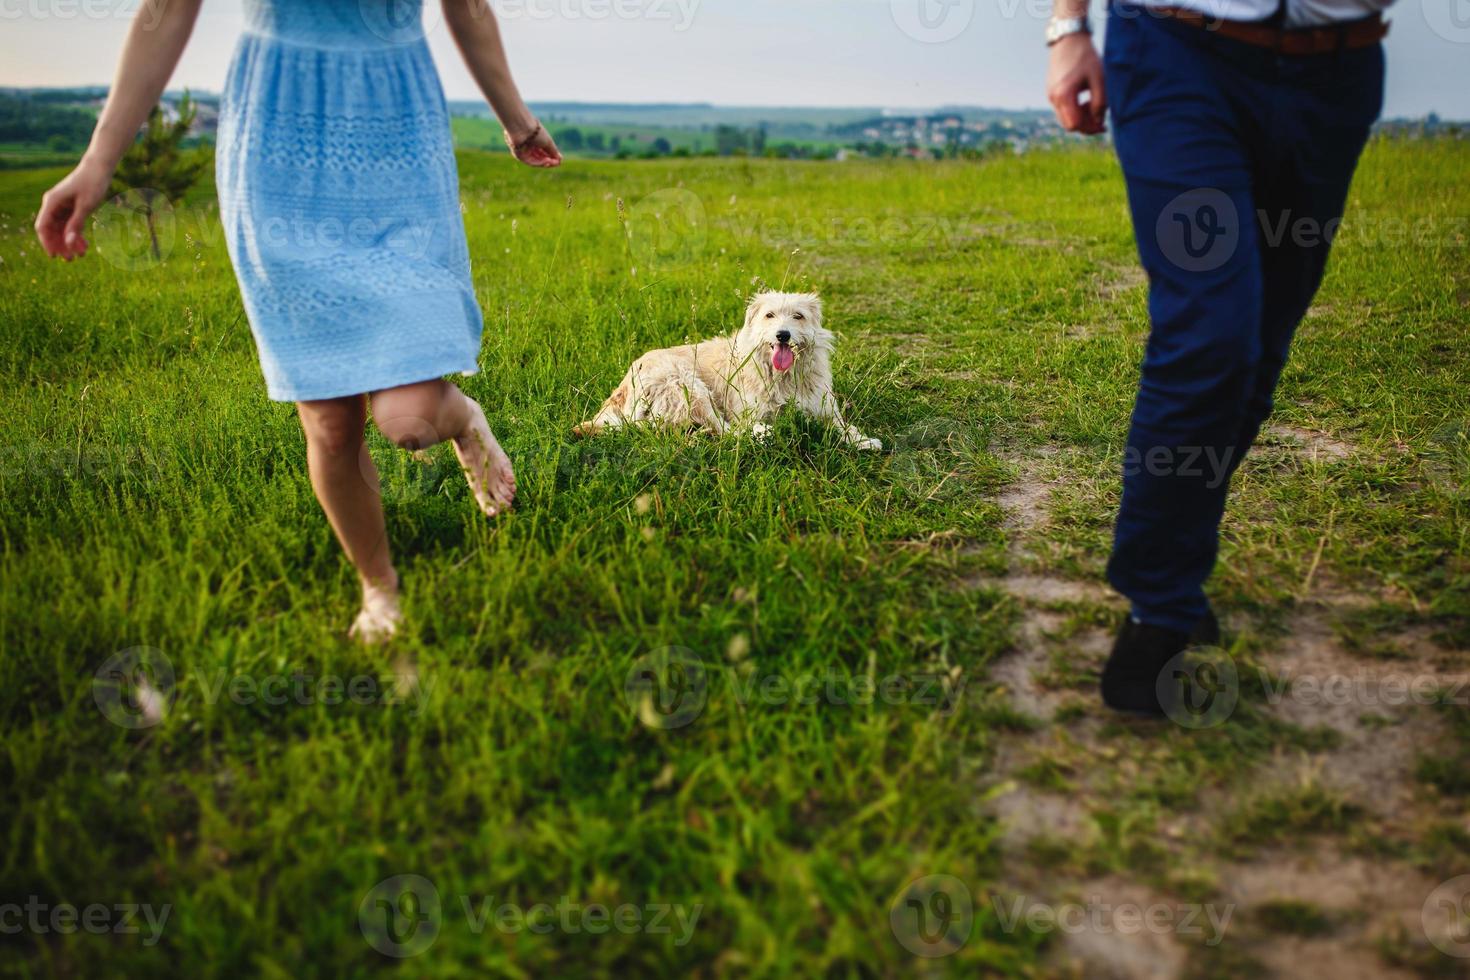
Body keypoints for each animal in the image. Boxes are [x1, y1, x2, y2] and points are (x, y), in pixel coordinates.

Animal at [567, 293, 876, 449]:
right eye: (769, 315)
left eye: (798, 316)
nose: (783, 335)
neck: (782, 376)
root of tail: (623, 385)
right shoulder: (748, 411)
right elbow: (739, 425)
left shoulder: (823, 407)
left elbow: (842, 425)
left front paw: (862, 439)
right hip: (687, 385)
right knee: (724, 430)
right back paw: (761, 434)